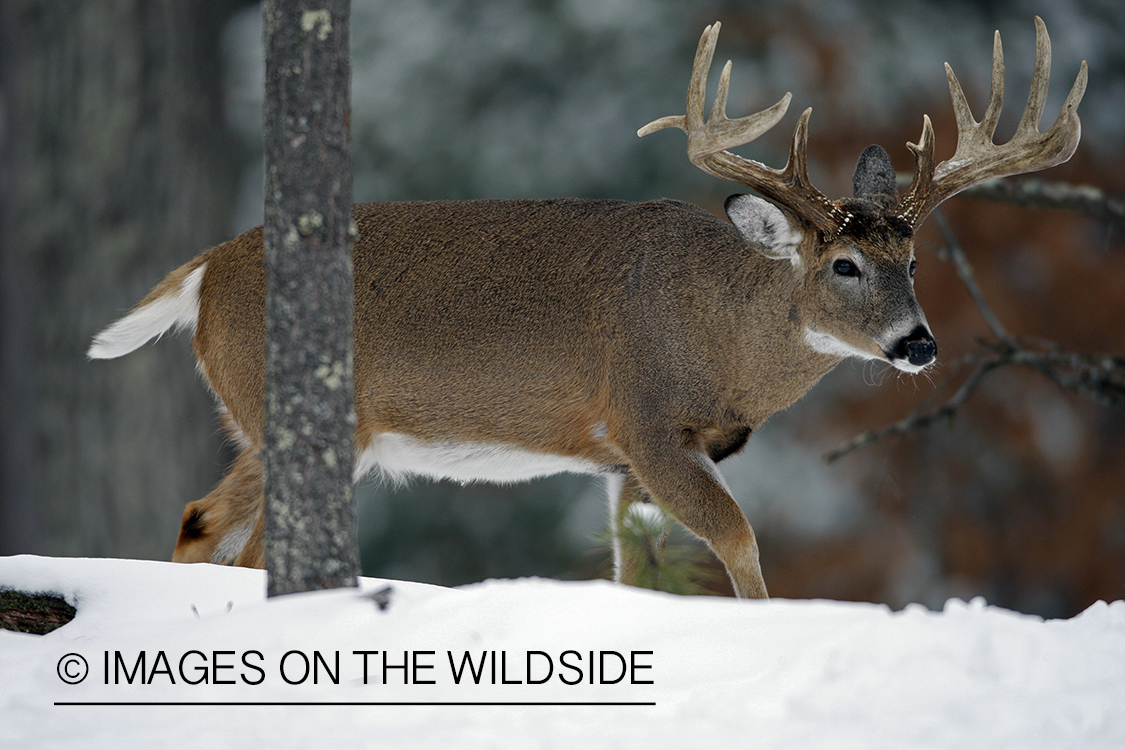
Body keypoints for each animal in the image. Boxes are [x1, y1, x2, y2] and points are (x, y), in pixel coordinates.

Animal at [92, 19, 1084, 598]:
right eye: (842, 264)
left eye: (911, 260)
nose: (917, 345)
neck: (722, 338)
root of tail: (205, 268)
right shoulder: (644, 419)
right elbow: (739, 542)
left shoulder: (621, 462)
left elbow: (631, 570)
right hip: (296, 412)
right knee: (237, 540)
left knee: (213, 528)